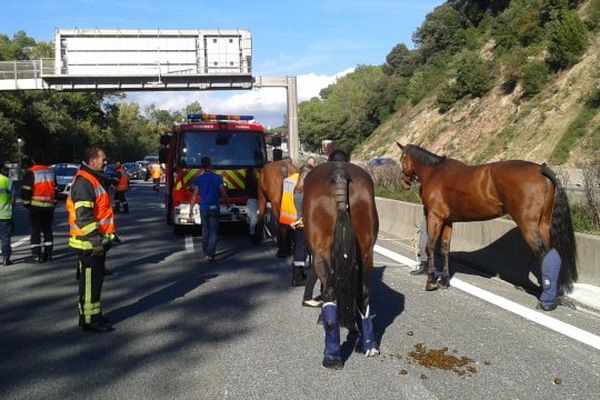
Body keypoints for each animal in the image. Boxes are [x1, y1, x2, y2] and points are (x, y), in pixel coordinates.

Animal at [302, 156, 382, 368]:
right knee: (363, 292)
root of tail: (339, 173)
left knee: (329, 290)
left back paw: (331, 355)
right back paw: (367, 345)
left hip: (321, 251)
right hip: (366, 252)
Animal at [394, 142, 576, 310]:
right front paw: (444, 280)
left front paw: (431, 281)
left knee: (544, 254)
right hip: (544, 224)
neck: (435, 172)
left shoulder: (435, 217)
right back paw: (554, 295)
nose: (403, 183)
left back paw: (546, 299)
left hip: (529, 226)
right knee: (553, 253)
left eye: (402, 159)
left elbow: (430, 246)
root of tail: (541, 170)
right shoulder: (447, 221)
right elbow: (445, 248)